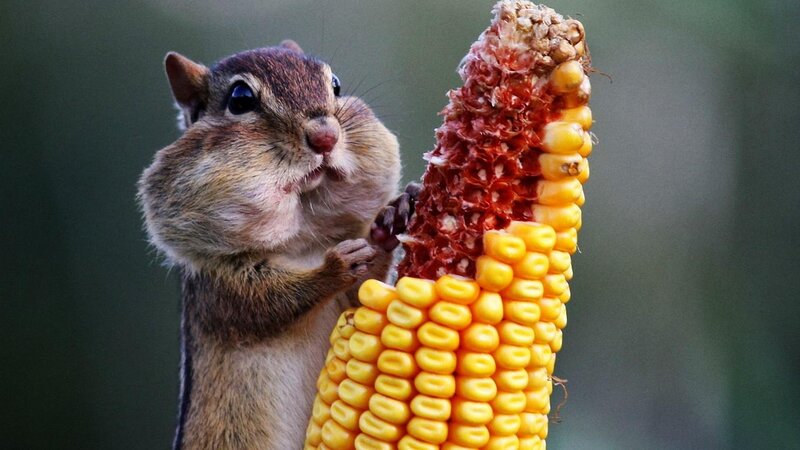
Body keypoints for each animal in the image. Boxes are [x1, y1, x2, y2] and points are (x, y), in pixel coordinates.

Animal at [138, 40, 418, 450]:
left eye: (335, 84)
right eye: (240, 99)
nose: (326, 136)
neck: (303, 242)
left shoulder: (350, 304)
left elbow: (365, 295)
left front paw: (391, 220)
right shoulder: (219, 289)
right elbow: (269, 303)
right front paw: (335, 267)